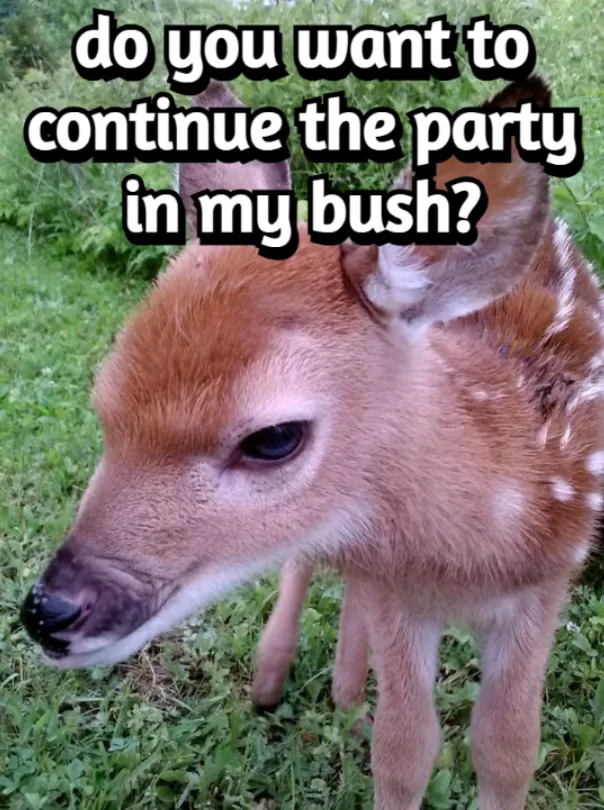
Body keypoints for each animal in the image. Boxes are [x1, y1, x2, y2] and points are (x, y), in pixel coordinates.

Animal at [21, 75, 604, 810]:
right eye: (105, 404)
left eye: (273, 438)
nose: (48, 612)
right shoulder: (395, 586)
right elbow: (406, 748)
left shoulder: (545, 585)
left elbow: (507, 749)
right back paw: (283, 681)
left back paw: (344, 698)